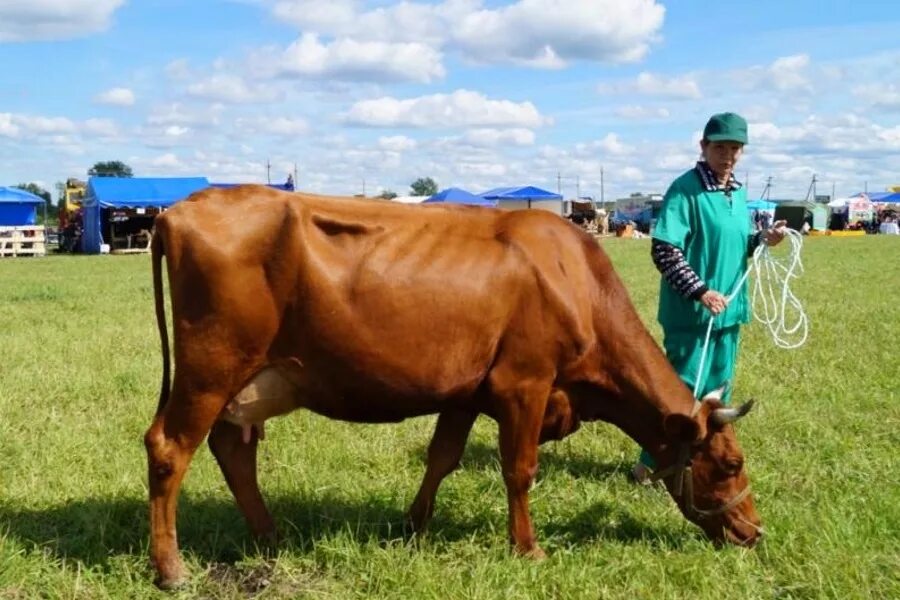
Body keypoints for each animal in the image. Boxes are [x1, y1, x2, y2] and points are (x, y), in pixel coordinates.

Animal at [144, 185, 764, 588]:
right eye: (730, 465)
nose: (754, 532)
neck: (573, 280)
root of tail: (181, 209)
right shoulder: (525, 384)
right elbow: (519, 470)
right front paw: (528, 549)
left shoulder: (467, 393)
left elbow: (442, 457)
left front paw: (412, 527)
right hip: (210, 368)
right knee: (170, 448)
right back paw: (171, 568)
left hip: (240, 381)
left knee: (232, 449)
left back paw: (269, 536)